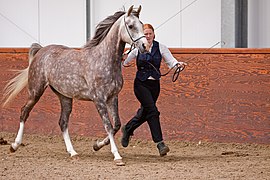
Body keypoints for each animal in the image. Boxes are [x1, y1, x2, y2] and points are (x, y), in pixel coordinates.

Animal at [2, 5, 149, 166]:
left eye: (141, 24)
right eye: (131, 26)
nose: (145, 46)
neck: (104, 60)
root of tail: (41, 50)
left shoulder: (112, 98)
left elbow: (116, 125)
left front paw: (97, 145)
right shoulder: (99, 100)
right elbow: (109, 126)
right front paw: (117, 156)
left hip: (64, 97)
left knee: (63, 122)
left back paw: (73, 153)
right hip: (36, 90)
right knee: (24, 112)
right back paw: (14, 145)